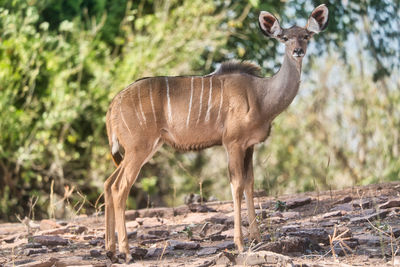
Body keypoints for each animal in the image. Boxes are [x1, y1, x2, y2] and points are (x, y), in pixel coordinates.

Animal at [103, 4, 328, 264]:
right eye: (284, 37)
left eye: (306, 35)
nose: (298, 51)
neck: (261, 95)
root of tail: (113, 105)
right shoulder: (233, 143)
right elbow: (236, 186)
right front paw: (240, 244)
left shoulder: (250, 146)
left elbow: (250, 184)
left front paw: (257, 238)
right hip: (139, 148)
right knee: (120, 188)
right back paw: (126, 252)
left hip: (139, 150)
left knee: (109, 183)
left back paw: (110, 251)